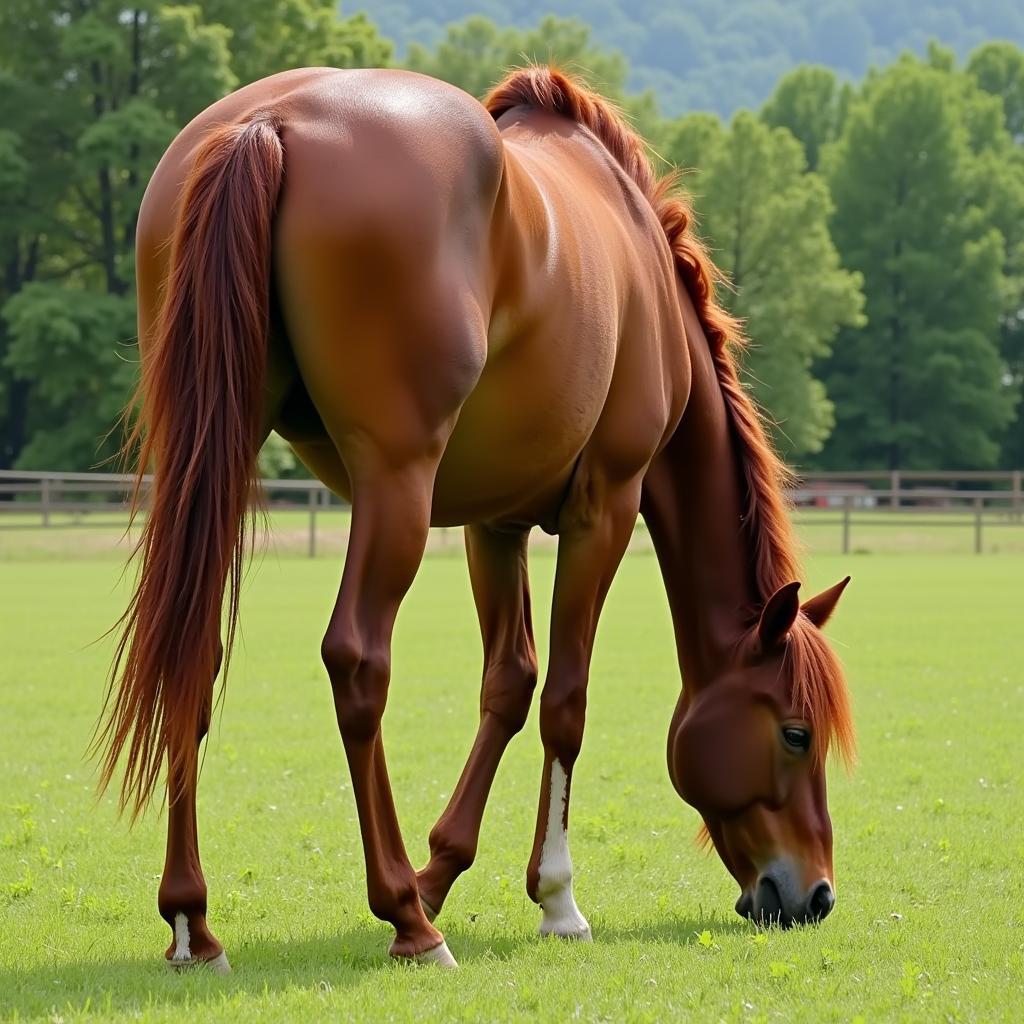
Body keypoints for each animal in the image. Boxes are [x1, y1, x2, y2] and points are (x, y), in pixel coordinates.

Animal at [96, 59, 851, 970]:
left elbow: (509, 684)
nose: (814, 896)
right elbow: (565, 699)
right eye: (796, 734)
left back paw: (193, 922)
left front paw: (442, 868)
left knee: (193, 656)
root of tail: (272, 122)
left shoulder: (497, 522)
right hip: (396, 483)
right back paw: (408, 922)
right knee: (357, 662)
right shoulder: (607, 504)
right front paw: (554, 899)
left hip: (220, 453)